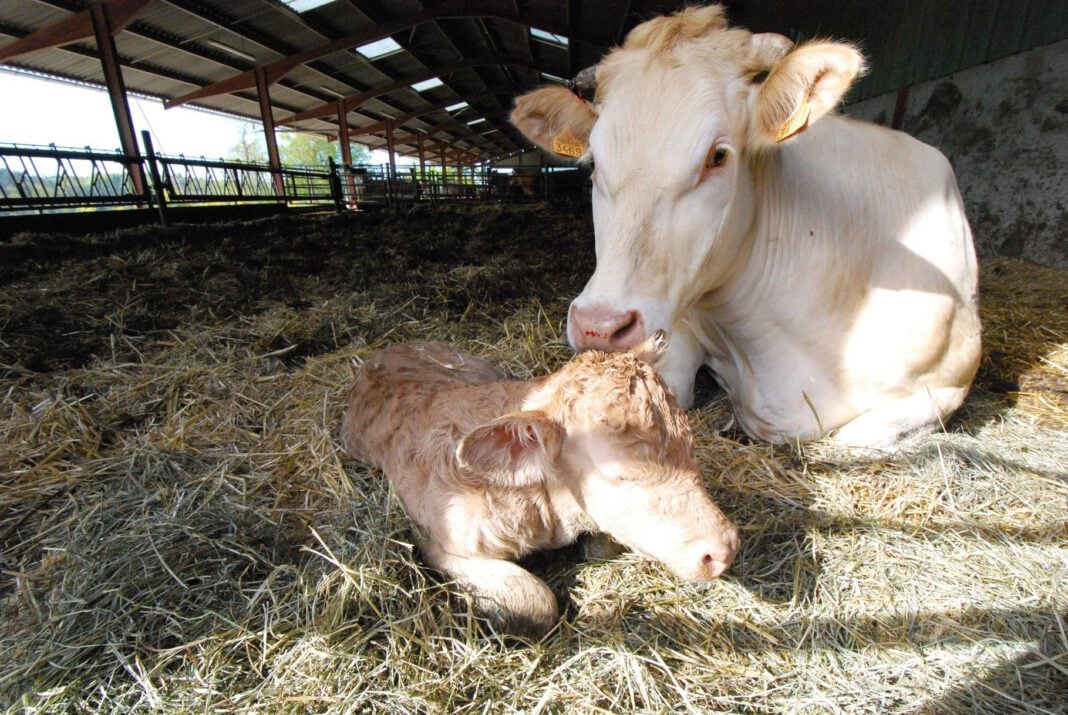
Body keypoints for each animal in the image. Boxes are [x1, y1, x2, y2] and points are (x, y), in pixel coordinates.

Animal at [341, 333, 739, 636]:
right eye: (620, 473)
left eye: (689, 445)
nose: (724, 550)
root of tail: (390, 350)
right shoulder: (441, 542)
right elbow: (536, 601)